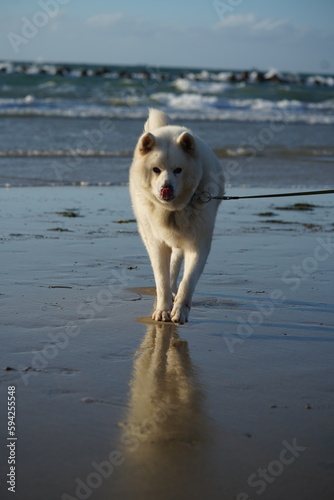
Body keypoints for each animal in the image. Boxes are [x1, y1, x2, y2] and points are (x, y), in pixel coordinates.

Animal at [129, 108, 226, 324]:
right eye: (156, 170)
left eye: (178, 170)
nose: (166, 188)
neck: (173, 210)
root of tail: (167, 129)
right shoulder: (158, 244)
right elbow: (162, 279)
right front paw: (163, 309)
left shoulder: (198, 245)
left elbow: (188, 281)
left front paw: (180, 311)